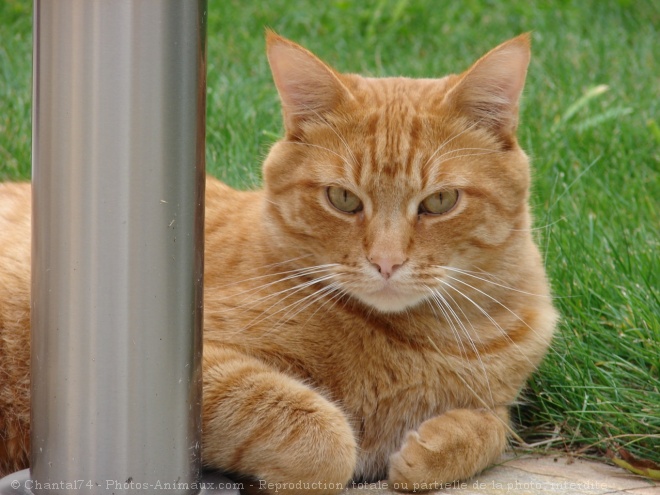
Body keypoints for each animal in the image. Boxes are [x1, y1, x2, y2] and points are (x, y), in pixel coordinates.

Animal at [1, 33, 556, 494]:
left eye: (440, 201)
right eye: (343, 199)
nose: (386, 262)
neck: (429, 340)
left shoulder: (497, 398)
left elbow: (496, 427)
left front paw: (432, 448)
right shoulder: (189, 370)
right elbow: (325, 437)